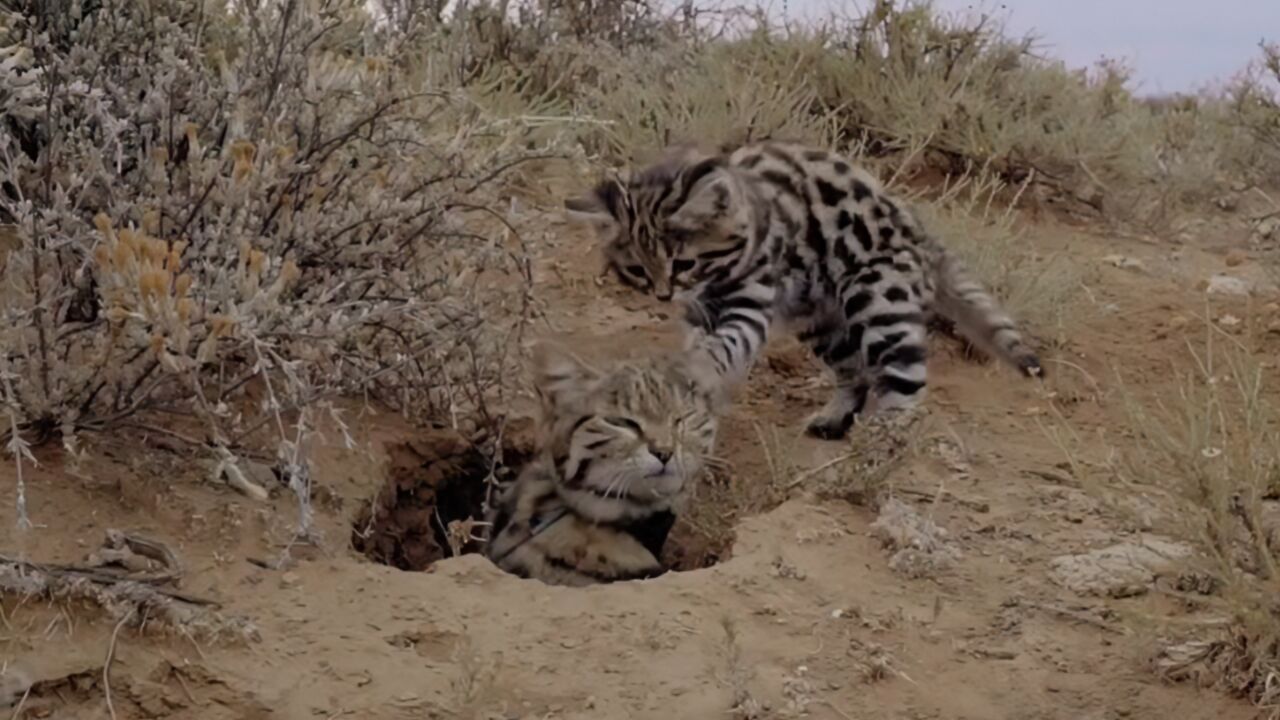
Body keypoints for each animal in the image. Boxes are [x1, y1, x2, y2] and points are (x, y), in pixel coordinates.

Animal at [568, 140, 1039, 440]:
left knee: (905, 383)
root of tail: (918, 232)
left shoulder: (750, 304)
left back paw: (879, 448)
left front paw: (695, 374)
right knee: (854, 375)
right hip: (821, 321)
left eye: (683, 262)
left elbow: (722, 347)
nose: (664, 295)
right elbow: (705, 348)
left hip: (877, 298)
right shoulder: (701, 313)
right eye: (637, 270)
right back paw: (834, 421)